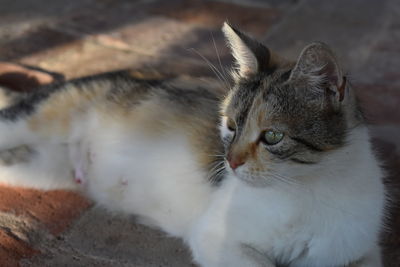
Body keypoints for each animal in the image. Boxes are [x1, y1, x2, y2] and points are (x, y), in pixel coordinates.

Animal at [0, 23, 384, 267]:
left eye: (272, 136)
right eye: (230, 125)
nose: (229, 161)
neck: (309, 188)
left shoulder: (360, 251)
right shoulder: (215, 237)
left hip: (40, 167)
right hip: (37, 117)